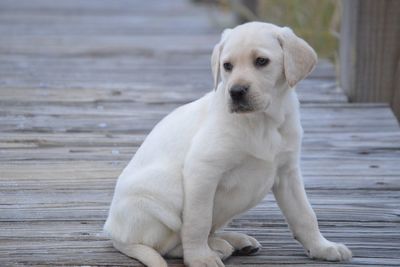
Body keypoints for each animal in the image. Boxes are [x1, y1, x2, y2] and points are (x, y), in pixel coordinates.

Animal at [104, 22, 352, 266]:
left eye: (261, 61)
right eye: (227, 66)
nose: (236, 91)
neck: (263, 122)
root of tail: (116, 235)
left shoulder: (287, 172)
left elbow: (305, 214)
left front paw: (322, 247)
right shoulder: (202, 170)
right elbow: (198, 221)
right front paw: (199, 258)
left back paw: (234, 241)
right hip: (165, 191)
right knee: (166, 245)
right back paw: (214, 248)